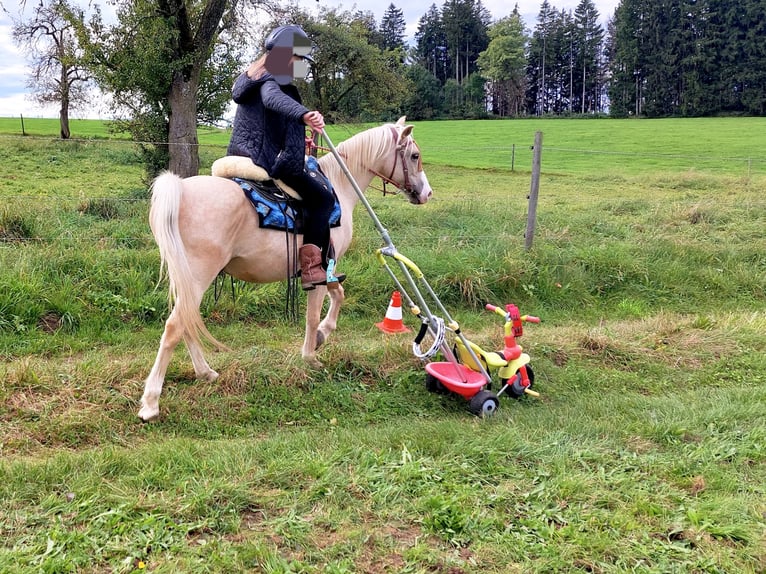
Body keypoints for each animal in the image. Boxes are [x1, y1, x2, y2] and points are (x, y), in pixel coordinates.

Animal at [138, 117, 433, 422]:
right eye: (414, 155)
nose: (426, 193)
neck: (339, 186)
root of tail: (181, 191)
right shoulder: (321, 267)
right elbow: (313, 315)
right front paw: (311, 355)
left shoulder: (327, 268)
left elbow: (338, 294)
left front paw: (321, 337)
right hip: (198, 277)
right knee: (175, 327)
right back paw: (151, 403)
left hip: (187, 279)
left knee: (187, 322)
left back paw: (205, 372)